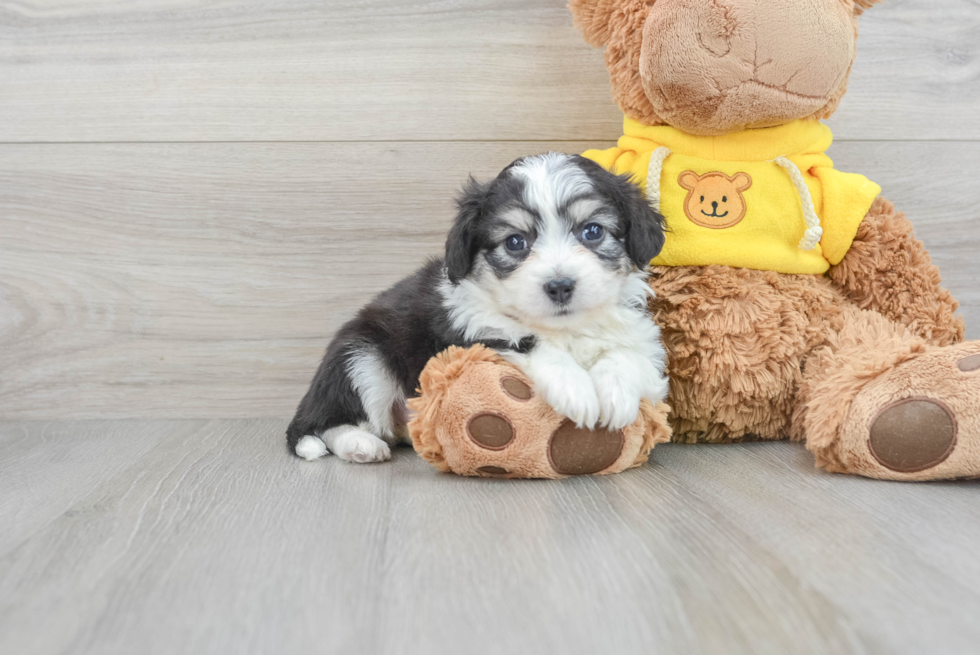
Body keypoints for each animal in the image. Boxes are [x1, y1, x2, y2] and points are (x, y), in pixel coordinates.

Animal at [284, 152, 668, 464]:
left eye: (592, 231)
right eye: (515, 242)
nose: (559, 285)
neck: (563, 328)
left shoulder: (644, 341)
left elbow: (626, 354)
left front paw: (617, 395)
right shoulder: (467, 335)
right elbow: (526, 343)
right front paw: (575, 389)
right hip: (361, 358)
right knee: (325, 424)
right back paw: (360, 445)